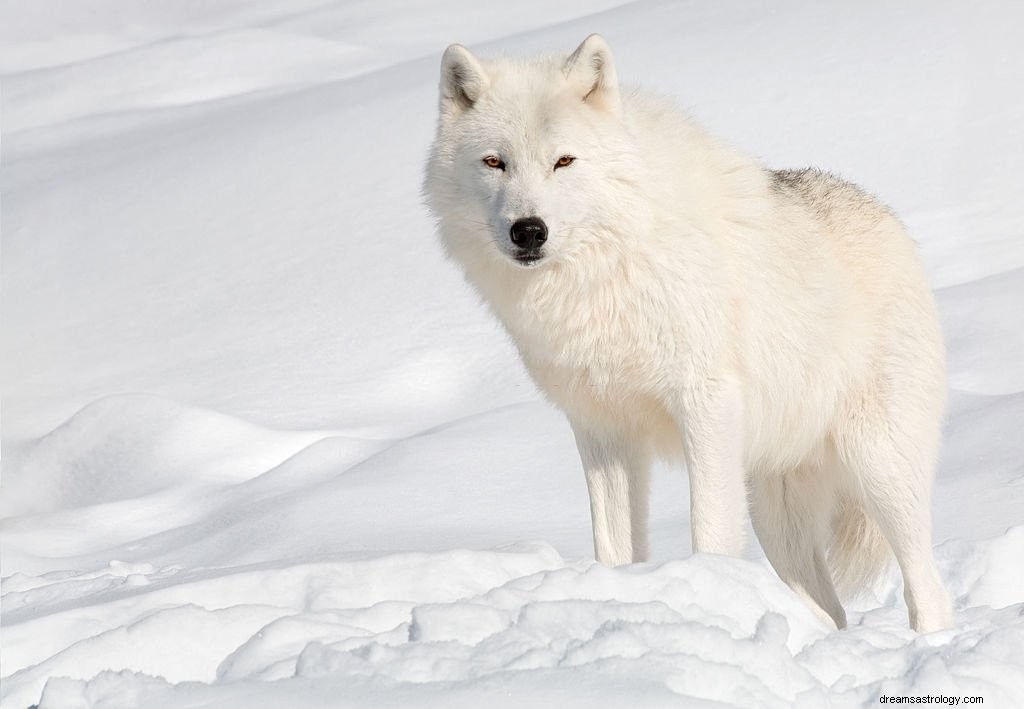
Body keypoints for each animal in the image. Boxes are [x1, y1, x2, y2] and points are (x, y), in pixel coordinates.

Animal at [421, 34, 950, 631]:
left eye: (563, 161)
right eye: (495, 162)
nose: (528, 231)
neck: (607, 271)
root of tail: (891, 221)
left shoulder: (705, 404)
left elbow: (710, 531)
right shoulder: (602, 430)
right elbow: (615, 547)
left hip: (880, 470)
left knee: (928, 589)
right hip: (777, 515)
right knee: (829, 612)